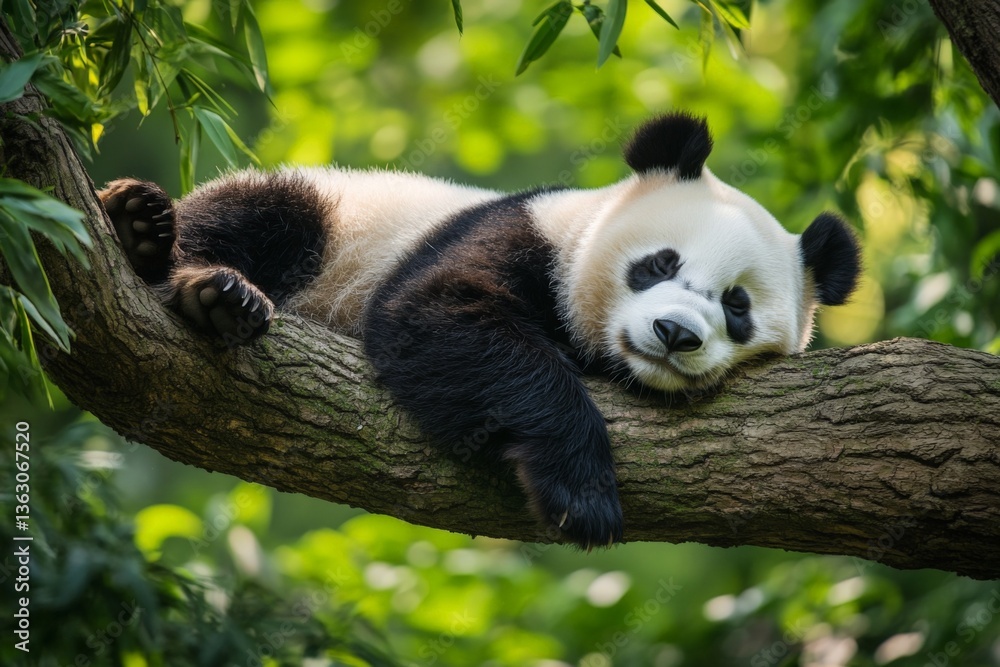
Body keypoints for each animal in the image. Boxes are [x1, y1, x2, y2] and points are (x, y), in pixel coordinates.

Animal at [99, 113, 860, 549]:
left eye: (737, 306)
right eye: (659, 263)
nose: (674, 333)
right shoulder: (517, 233)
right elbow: (438, 316)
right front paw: (581, 496)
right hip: (322, 212)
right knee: (251, 216)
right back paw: (182, 265)